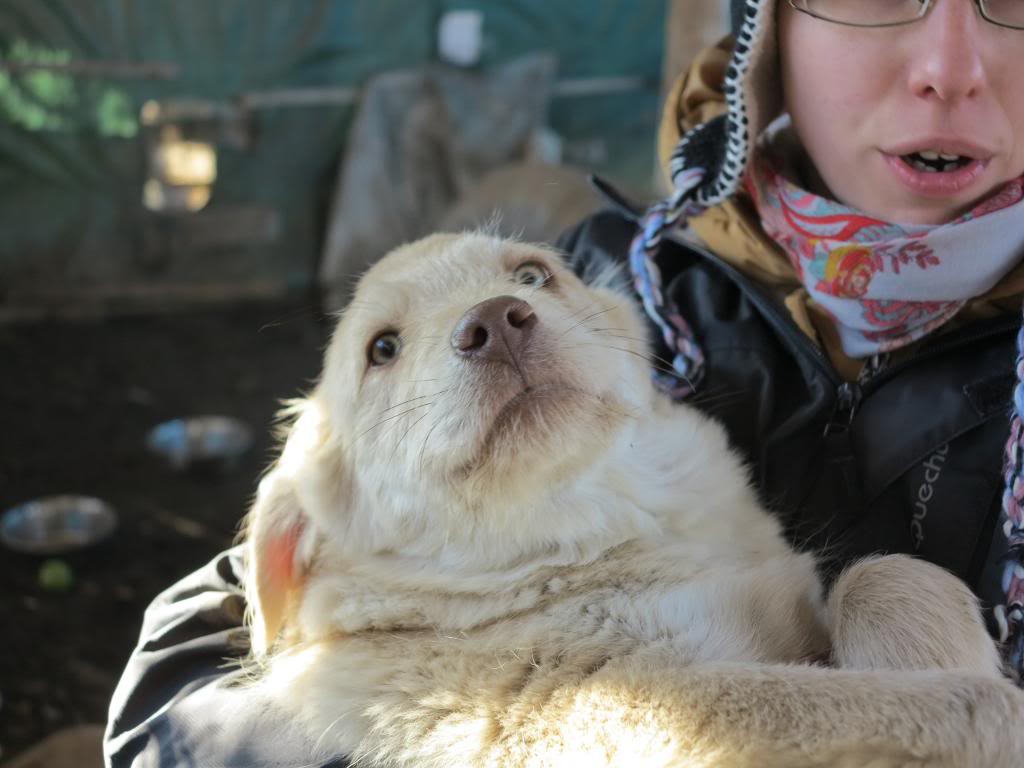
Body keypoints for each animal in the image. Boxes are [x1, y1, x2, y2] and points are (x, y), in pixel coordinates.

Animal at [241, 231, 1024, 765]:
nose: (496, 321)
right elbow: (879, 704)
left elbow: (886, 575)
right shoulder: (589, 706)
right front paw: (996, 714)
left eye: (533, 274)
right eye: (381, 350)